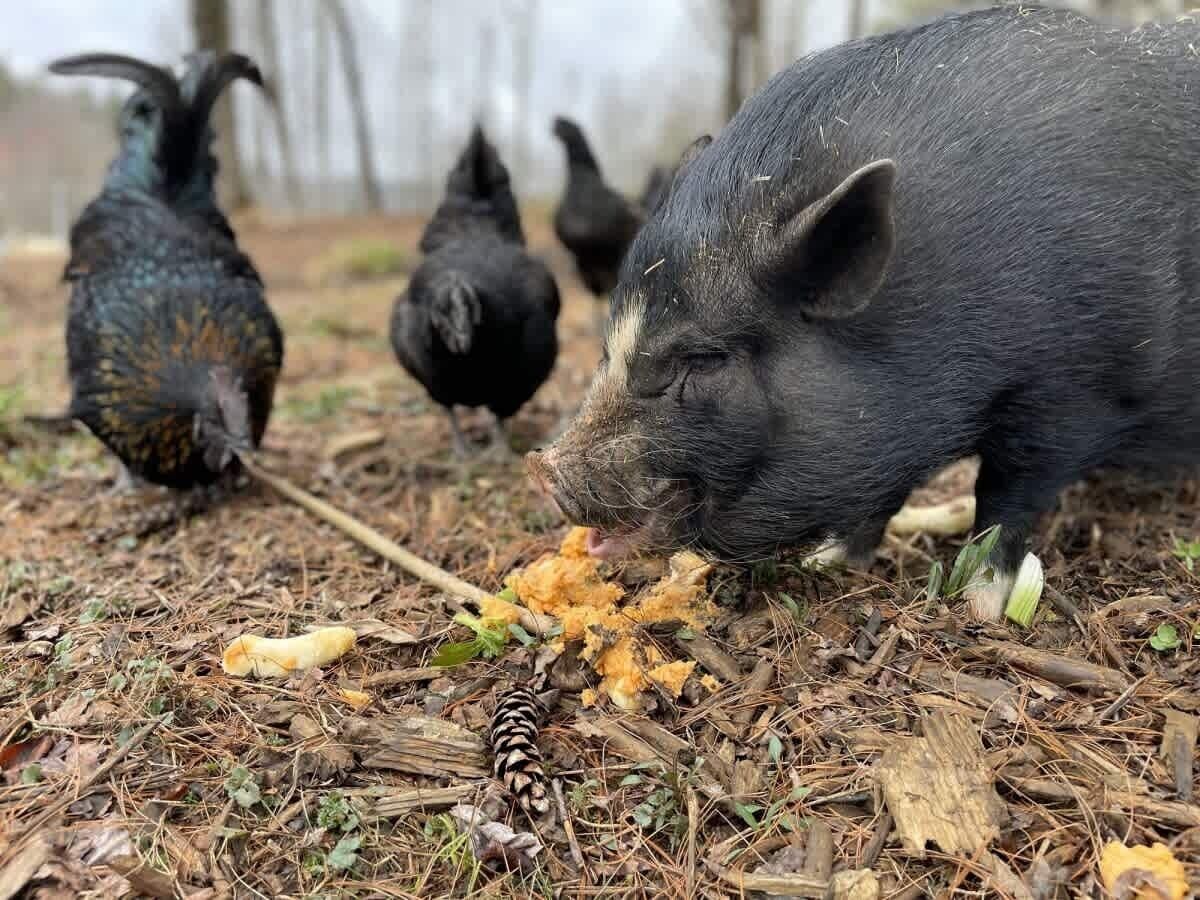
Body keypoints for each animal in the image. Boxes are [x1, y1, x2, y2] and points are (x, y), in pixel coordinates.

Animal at [526, 5, 1200, 620]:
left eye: (702, 358)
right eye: (608, 344)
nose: (543, 468)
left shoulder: (1073, 396)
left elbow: (1005, 501)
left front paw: (977, 605)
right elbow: (880, 495)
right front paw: (825, 565)